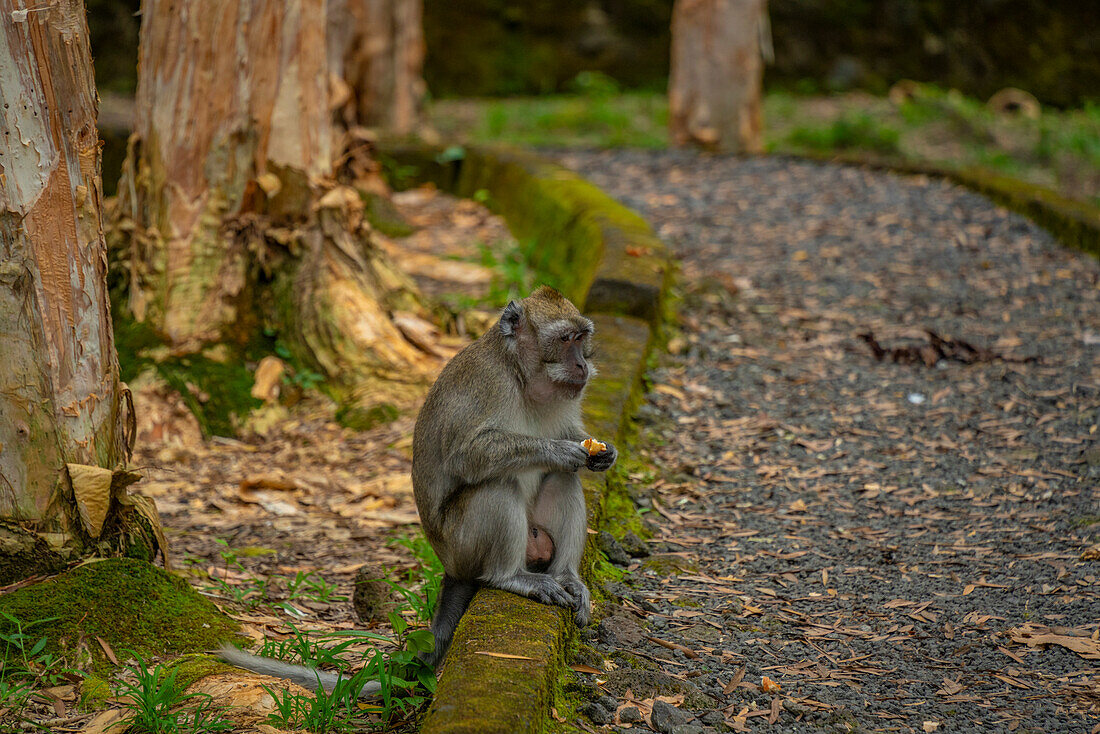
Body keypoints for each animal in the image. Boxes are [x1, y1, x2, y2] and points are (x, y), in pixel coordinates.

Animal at [413, 283, 620, 669]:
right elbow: (468, 455)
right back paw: (511, 578)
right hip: (461, 547)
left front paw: (604, 453)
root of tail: (449, 567)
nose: (582, 364)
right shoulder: (487, 384)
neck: (520, 376)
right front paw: (558, 450)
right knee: (496, 484)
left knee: (563, 479)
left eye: (581, 338)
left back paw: (565, 577)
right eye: (565, 339)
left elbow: (570, 437)